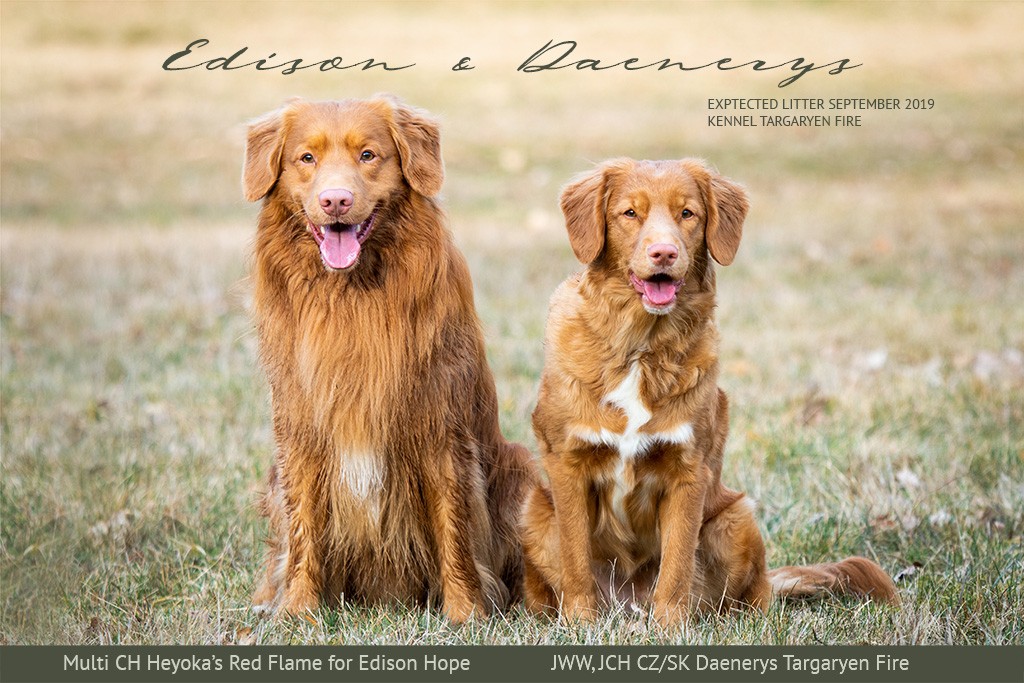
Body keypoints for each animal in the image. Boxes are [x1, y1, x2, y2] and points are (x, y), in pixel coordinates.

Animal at [520, 157, 897, 626]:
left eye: (687, 213)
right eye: (630, 213)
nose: (664, 253)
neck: (641, 348)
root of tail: (628, 604)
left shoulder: (689, 470)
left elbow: (677, 562)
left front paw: (671, 626)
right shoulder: (568, 465)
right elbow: (575, 557)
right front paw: (580, 623)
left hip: (736, 518)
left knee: (750, 596)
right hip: (534, 511)